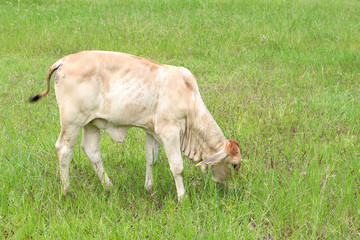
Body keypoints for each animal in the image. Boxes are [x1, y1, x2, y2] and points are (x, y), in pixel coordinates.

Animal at [29, 51, 240, 201]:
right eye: (235, 165)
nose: (234, 189)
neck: (188, 97)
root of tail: (63, 60)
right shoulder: (169, 132)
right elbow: (177, 166)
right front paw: (182, 198)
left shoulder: (152, 131)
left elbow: (151, 159)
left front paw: (149, 188)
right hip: (72, 122)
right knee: (64, 149)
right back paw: (66, 190)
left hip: (91, 123)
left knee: (91, 150)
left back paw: (109, 187)